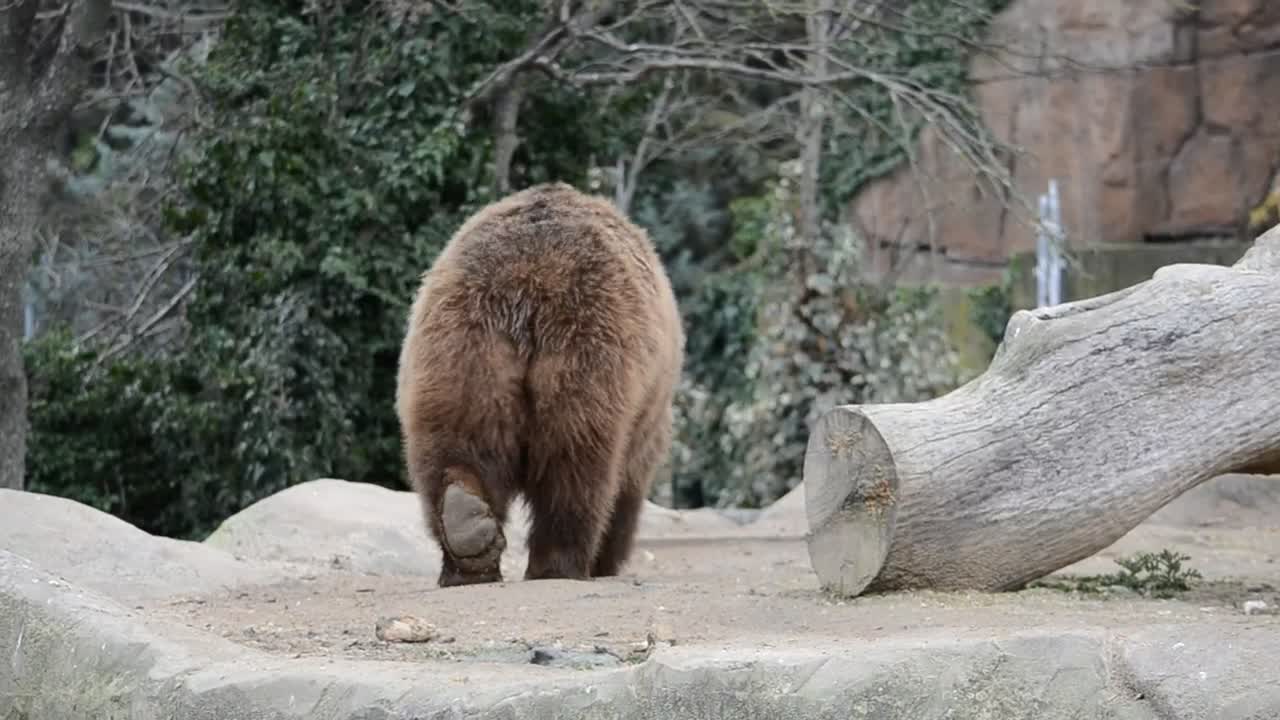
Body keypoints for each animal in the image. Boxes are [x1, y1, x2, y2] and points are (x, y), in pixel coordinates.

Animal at [395, 181, 685, 588]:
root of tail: (526, 284)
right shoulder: (648, 410)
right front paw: (609, 558)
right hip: (587, 342)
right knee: (576, 460)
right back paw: (559, 565)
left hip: (462, 348)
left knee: (459, 440)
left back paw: (466, 539)